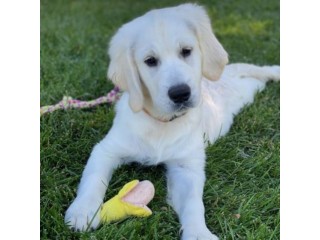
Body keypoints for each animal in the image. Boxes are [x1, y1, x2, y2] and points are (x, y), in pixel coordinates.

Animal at [63, 3, 278, 240]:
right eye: (150, 61)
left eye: (186, 51)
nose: (180, 93)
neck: (162, 123)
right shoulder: (107, 149)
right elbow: (92, 179)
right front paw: (82, 211)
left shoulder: (187, 166)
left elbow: (193, 203)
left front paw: (198, 233)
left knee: (259, 70)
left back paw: (276, 71)